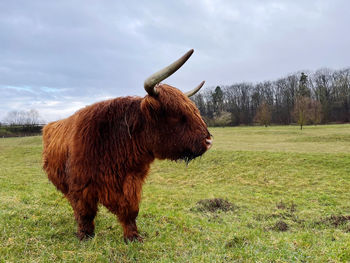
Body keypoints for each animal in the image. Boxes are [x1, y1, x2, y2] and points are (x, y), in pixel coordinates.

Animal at [42, 48, 212, 242]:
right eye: (176, 115)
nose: (208, 141)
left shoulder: (131, 180)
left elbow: (130, 210)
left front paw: (132, 236)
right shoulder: (80, 185)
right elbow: (85, 212)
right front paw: (85, 235)